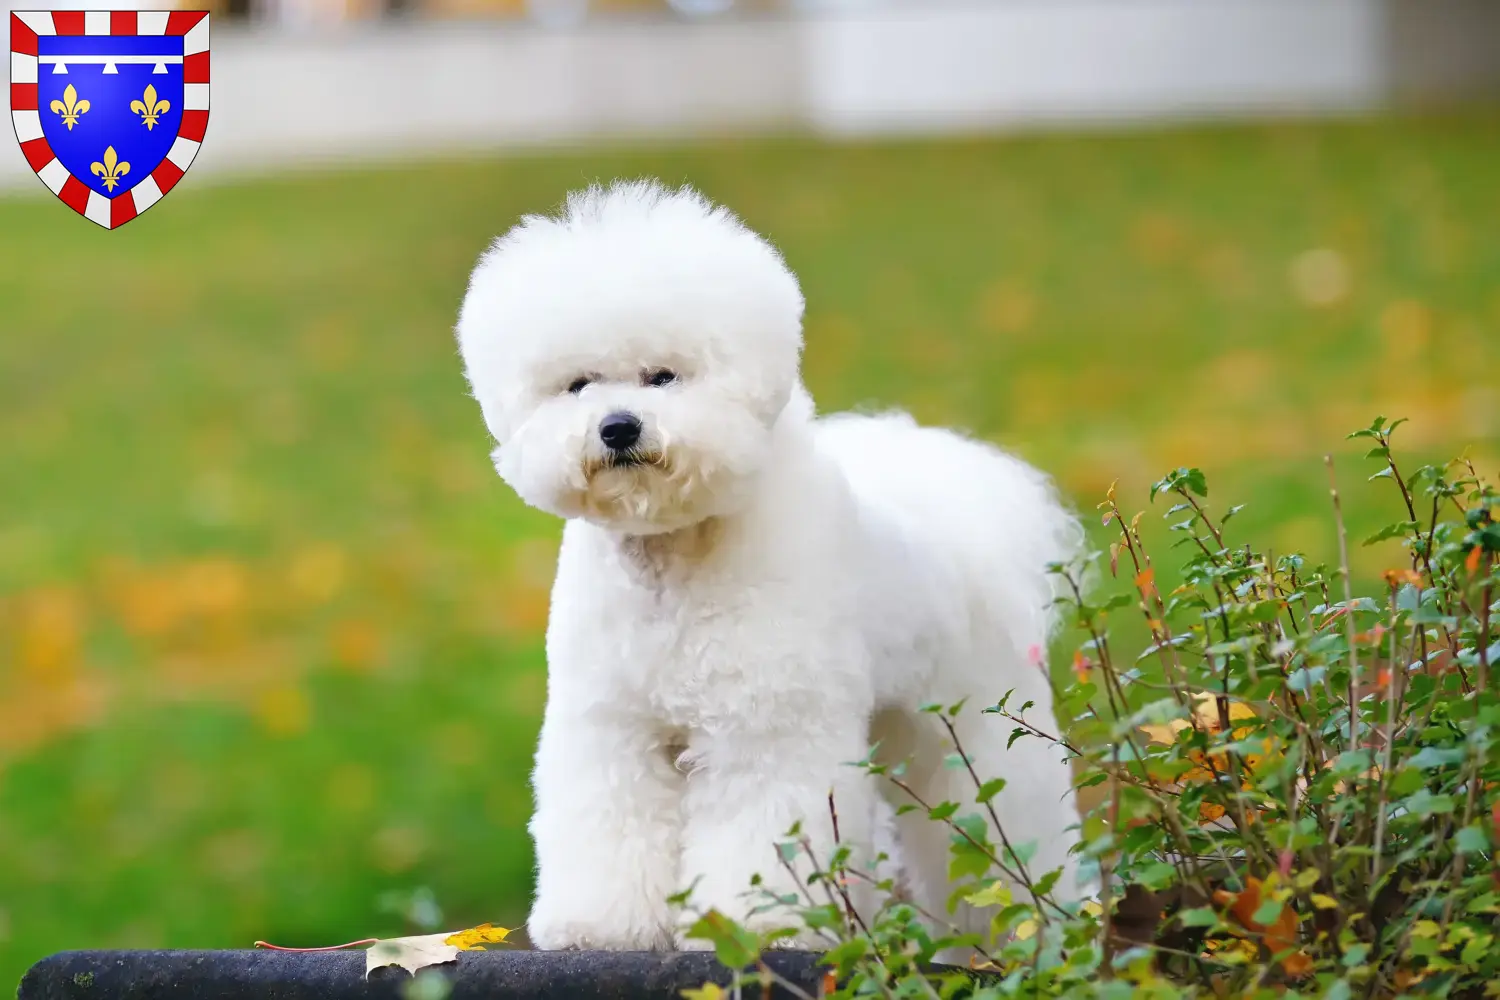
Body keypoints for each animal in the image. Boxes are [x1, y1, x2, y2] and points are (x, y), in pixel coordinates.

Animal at [450, 179, 1086, 953]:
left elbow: (763, 829)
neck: (675, 559)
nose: (619, 427)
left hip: (979, 725)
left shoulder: (767, 729)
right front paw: (600, 925)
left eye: (664, 376)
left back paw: (1025, 926)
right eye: (578, 385)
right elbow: (608, 819)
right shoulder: (611, 726)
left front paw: (761, 927)